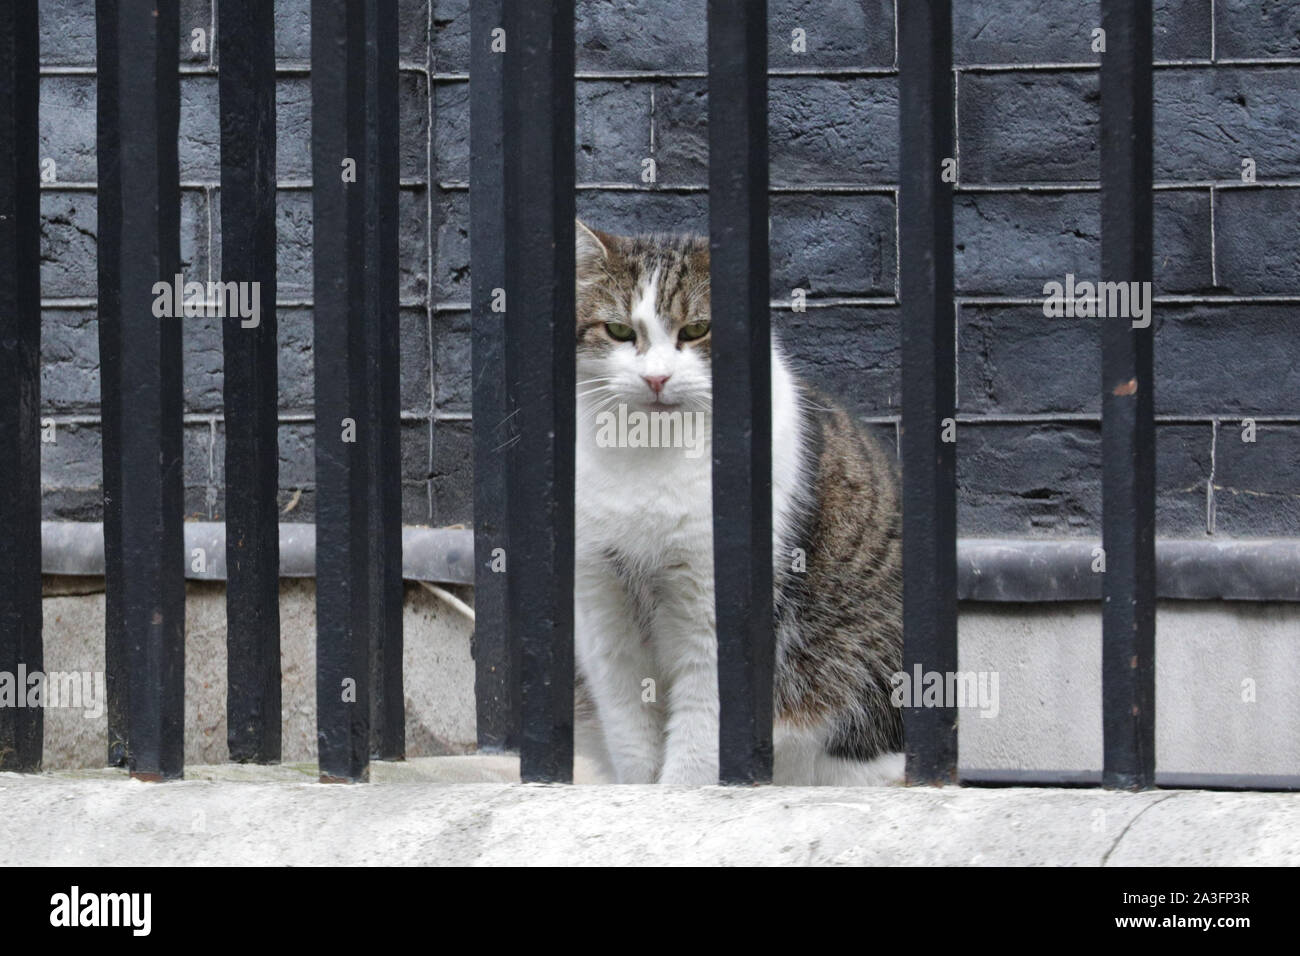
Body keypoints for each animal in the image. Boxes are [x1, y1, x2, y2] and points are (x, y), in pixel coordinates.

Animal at [574, 222, 899, 785]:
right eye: (617, 331)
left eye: (697, 329)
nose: (656, 378)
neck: (648, 454)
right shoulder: (601, 602)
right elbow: (629, 726)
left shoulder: (716, 608)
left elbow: (700, 736)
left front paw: (682, 794)